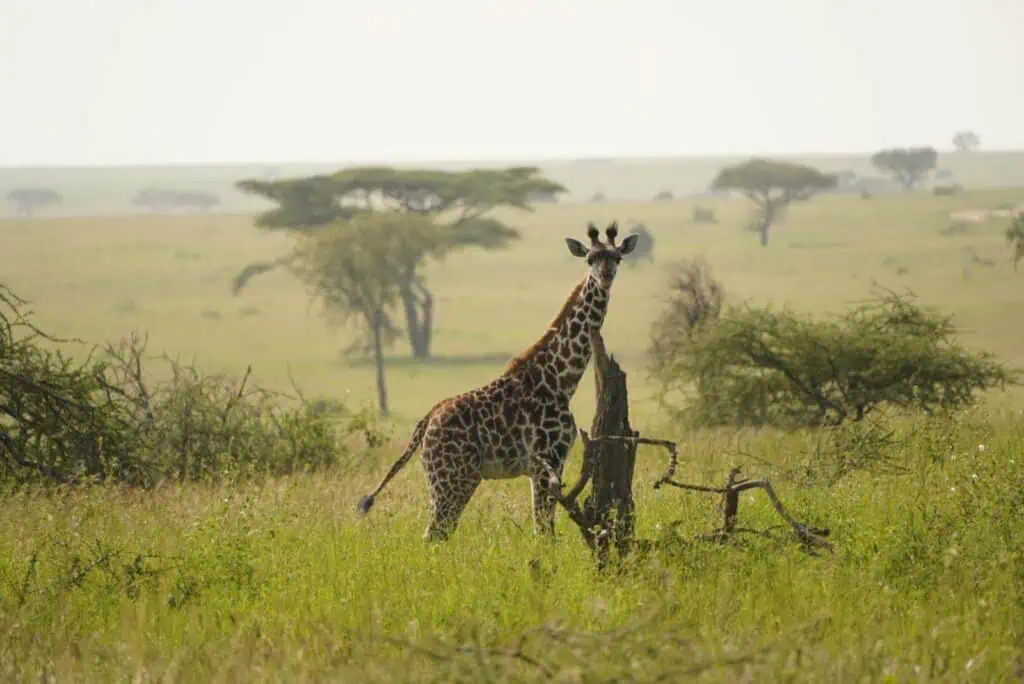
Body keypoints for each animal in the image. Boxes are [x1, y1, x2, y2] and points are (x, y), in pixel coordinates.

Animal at [356, 222, 639, 541]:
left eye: (617, 258)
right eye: (590, 259)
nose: (606, 276)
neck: (560, 380)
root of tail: (425, 423)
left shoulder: (547, 465)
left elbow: (543, 530)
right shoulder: (546, 461)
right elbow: (544, 533)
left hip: (447, 480)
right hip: (453, 479)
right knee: (433, 534)